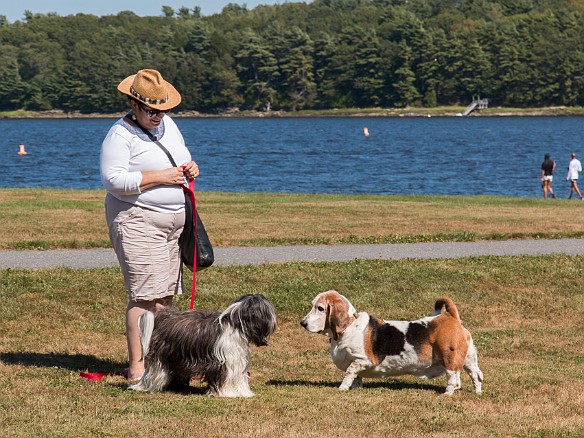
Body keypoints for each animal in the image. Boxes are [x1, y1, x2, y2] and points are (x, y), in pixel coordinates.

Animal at [131, 294, 278, 396]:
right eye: (268, 312)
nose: (274, 323)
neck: (235, 324)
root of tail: (162, 319)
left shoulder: (237, 360)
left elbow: (240, 378)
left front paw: (245, 393)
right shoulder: (224, 362)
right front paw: (227, 393)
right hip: (162, 356)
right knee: (154, 371)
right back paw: (142, 387)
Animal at [302, 290, 484, 396]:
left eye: (320, 308)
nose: (302, 323)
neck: (349, 326)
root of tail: (450, 317)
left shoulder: (363, 360)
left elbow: (350, 371)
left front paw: (343, 388)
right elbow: (356, 376)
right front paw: (356, 388)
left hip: (450, 358)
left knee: (453, 377)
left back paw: (447, 393)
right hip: (468, 359)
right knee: (475, 374)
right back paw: (477, 392)